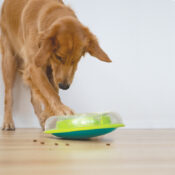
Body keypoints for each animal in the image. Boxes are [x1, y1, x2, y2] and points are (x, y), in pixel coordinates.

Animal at [0, 0, 110, 129]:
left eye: (76, 59)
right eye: (58, 57)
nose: (64, 86)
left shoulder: (51, 71)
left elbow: (51, 91)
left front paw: (50, 116)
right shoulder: (35, 66)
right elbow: (49, 91)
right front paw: (61, 109)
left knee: (34, 97)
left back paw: (42, 120)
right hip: (9, 59)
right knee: (8, 95)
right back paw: (8, 121)